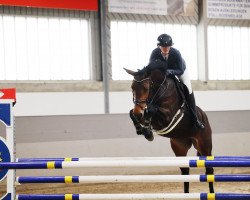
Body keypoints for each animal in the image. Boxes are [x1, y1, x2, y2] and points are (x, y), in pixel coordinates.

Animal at [124, 66, 214, 194]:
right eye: (132, 87)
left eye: (146, 88)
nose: (138, 113)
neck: (158, 91)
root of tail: (204, 116)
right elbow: (132, 113)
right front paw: (144, 130)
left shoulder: (166, 117)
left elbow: (151, 110)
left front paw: (147, 129)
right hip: (179, 147)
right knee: (185, 171)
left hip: (204, 146)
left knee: (209, 170)